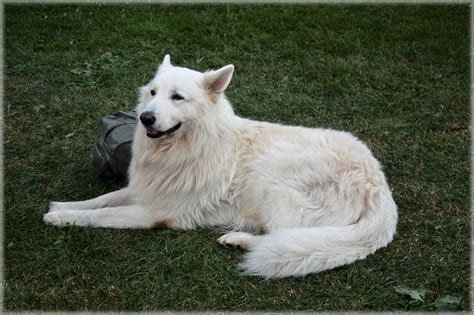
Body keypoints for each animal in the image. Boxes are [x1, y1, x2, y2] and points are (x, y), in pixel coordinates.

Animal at [45, 55, 400, 278]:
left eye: (177, 98)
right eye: (153, 93)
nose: (145, 117)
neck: (188, 148)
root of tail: (379, 186)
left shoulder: (154, 212)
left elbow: (103, 215)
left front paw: (61, 218)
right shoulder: (144, 190)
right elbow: (103, 200)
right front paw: (63, 205)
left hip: (269, 178)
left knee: (287, 236)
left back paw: (240, 240)